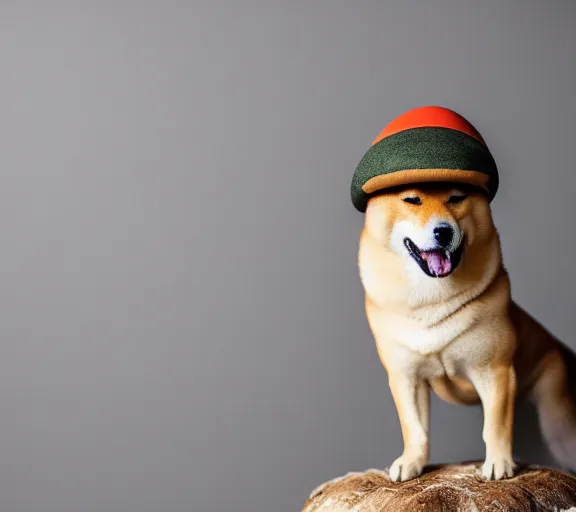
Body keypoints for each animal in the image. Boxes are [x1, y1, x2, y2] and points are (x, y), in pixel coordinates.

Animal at [358, 182, 576, 482]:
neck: (430, 303)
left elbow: (495, 425)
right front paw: (412, 462)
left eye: (457, 198)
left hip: (558, 423)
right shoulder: (405, 377)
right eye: (412, 199)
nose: (443, 231)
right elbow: (414, 427)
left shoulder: (495, 372)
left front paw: (498, 463)